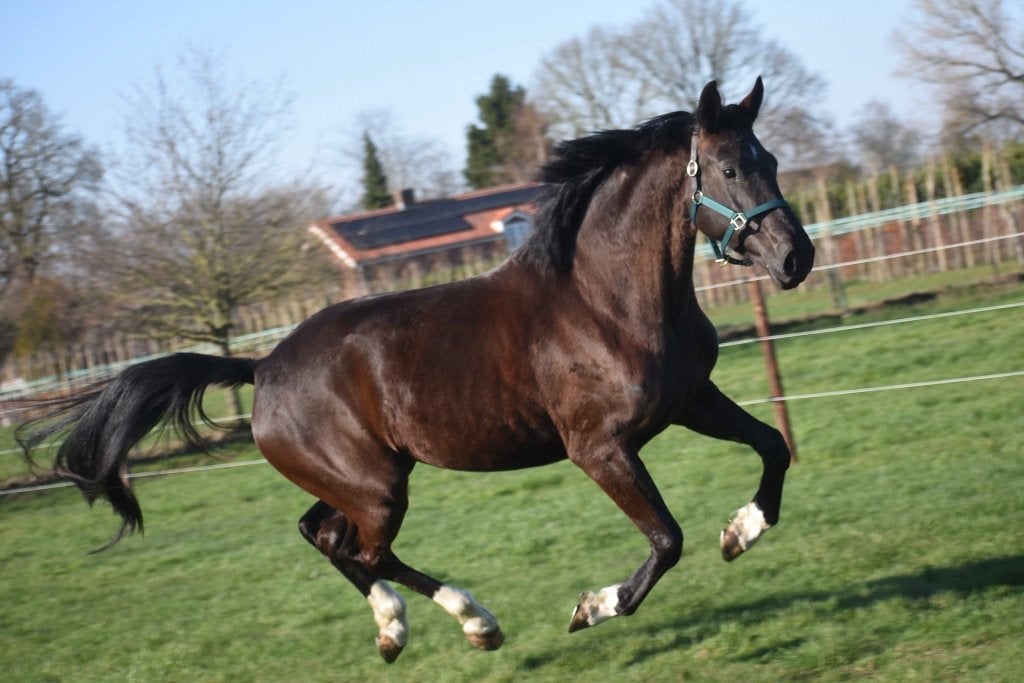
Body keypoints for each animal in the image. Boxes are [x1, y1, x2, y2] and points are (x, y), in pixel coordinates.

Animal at [19, 78, 814, 663]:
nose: (795, 257)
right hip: (376, 487)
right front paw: (593, 606)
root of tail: (263, 366)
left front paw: (741, 531)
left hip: (363, 479)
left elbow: (773, 446)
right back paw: (467, 622)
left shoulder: (690, 399)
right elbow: (667, 539)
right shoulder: (600, 447)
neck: (604, 300)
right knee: (363, 548)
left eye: (772, 160)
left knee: (322, 534)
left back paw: (407, 628)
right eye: (729, 168)